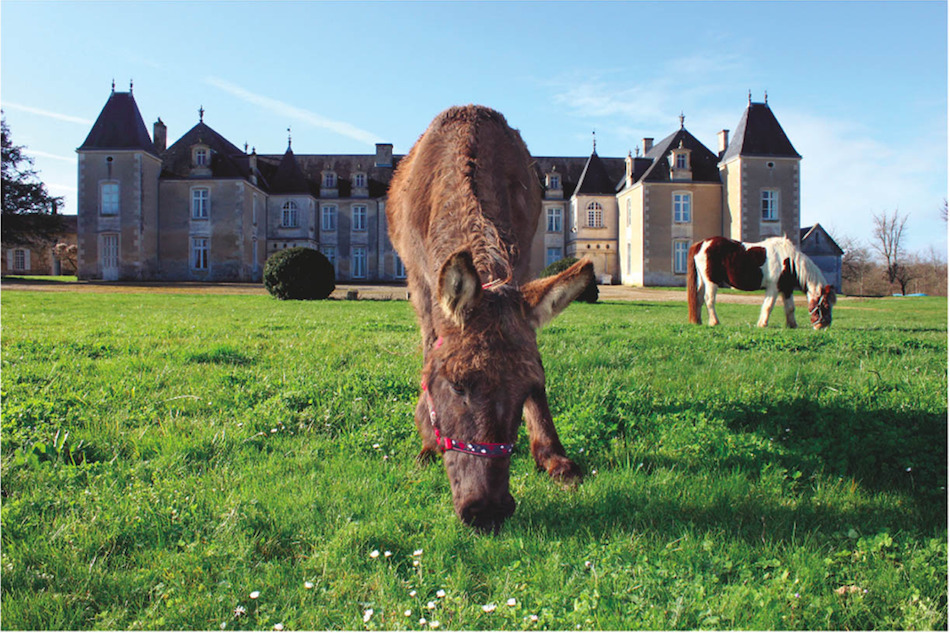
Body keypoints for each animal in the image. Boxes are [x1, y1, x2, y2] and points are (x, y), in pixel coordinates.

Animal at [386, 103, 596, 528]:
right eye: (456, 384)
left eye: (529, 387)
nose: (488, 510)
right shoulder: (419, 283)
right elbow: (428, 349)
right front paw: (426, 441)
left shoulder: (526, 263)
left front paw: (555, 457)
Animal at [688, 235, 836, 328]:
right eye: (825, 305)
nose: (823, 325)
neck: (789, 261)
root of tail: (701, 245)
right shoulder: (773, 288)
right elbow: (768, 306)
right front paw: (762, 324)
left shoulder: (787, 289)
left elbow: (790, 308)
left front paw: (792, 325)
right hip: (711, 282)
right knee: (709, 300)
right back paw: (714, 322)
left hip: (702, 281)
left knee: (699, 299)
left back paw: (698, 321)